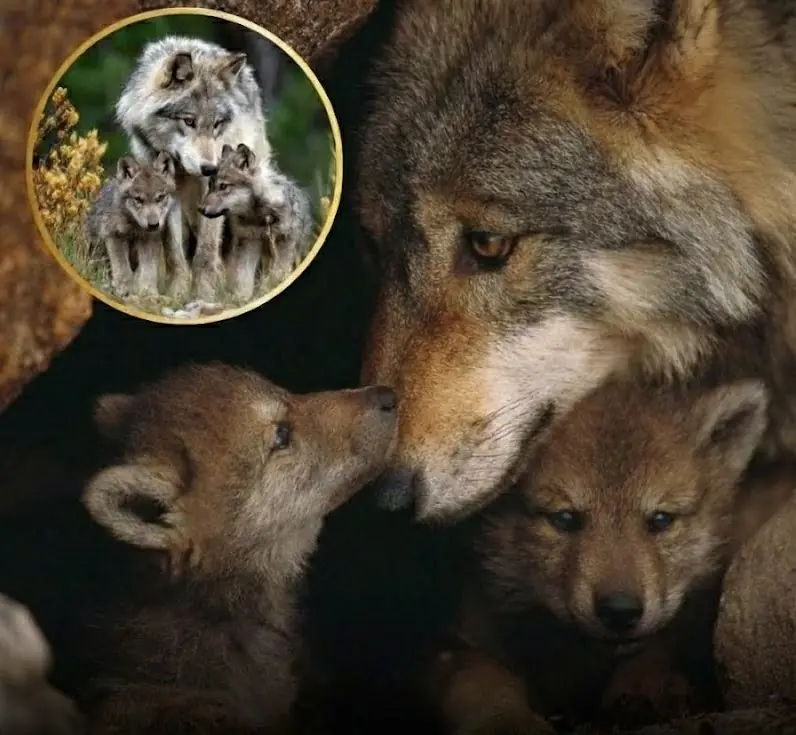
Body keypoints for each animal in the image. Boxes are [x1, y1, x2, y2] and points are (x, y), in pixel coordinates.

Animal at [85, 152, 175, 299]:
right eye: (138, 199)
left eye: (160, 198)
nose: (153, 224)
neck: (135, 227)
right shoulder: (115, 237)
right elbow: (123, 269)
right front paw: (124, 290)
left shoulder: (149, 241)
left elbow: (148, 271)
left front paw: (149, 293)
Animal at [116, 36, 271, 301]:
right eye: (189, 121)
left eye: (217, 124)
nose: (210, 168)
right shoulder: (165, 193)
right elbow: (173, 251)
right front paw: (177, 292)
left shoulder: (212, 194)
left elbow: (206, 252)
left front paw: (204, 293)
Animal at [198, 143, 313, 302]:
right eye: (210, 185)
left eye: (223, 186)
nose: (200, 208)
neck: (259, 216)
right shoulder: (249, 244)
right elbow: (244, 278)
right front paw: (241, 300)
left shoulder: (284, 245)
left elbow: (277, 275)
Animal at [431, 377, 794, 733]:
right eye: (564, 518)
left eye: (660, 519)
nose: (620, 611)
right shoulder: (456, 644)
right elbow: (479, 680)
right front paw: (507, 720)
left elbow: (658, 647)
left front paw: (645, 687)